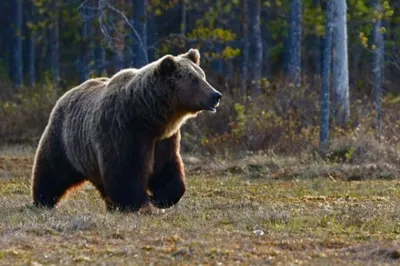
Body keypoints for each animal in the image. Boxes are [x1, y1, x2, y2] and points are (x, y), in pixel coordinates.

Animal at [30, 48, 222, 212]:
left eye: (203, 76)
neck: (149, 116)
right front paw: (136, 204)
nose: (216, 95)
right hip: (65, 139)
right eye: (194, 79)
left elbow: (167, 167)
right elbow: (126, 170)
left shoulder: (164, 139)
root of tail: (67, 93)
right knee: (52, 170)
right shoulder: (124, 129)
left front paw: (160, 198)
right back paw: (43, 201)